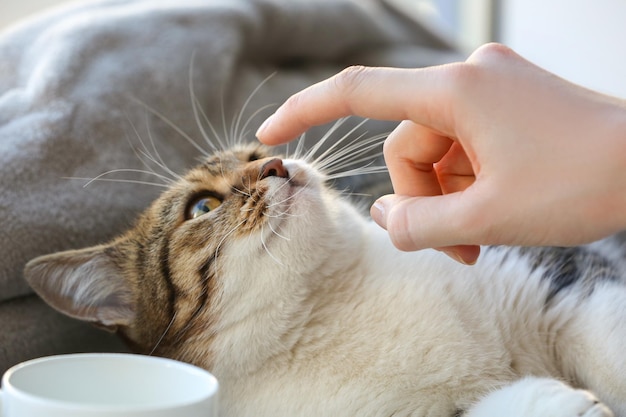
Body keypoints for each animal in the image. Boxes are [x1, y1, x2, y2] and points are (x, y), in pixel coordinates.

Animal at [23, 132, 624, 412]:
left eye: (257, 151)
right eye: (201, 207)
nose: (276, 164)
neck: (327, 308)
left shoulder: (553, 275)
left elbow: (604, 339)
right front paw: (554, 401)